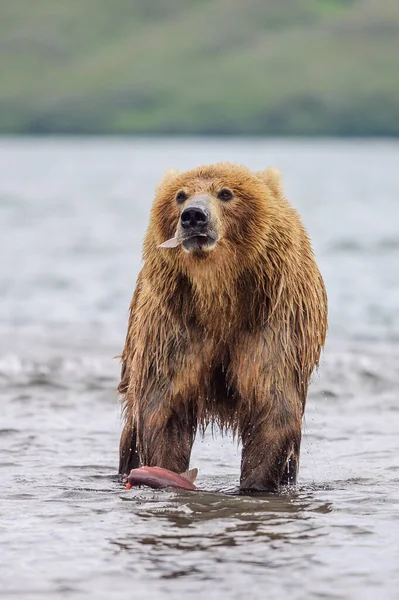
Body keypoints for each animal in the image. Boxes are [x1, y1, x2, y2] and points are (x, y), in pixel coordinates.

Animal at [119, 163, 328, 492]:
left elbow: (273, 407)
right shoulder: (176, 328)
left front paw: (256, 485)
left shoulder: (272, 324)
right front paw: (166, 472)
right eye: (180, 195)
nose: (193, 216)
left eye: (226, 193)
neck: (220, 299)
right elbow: (165, 408)